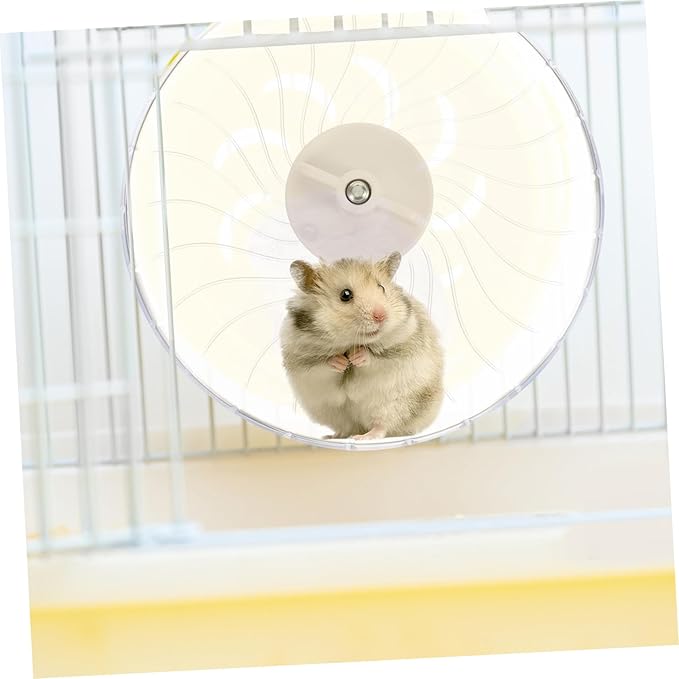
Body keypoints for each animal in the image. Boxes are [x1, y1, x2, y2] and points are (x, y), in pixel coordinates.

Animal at [280, 251, 444, 441]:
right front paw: (342, 362)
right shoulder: (302, 359)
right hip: (332, 411)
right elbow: (322, 364)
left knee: (382, 426)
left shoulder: (403, 346)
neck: (350, 342)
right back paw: (333, 436)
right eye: (345, 294)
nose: (381, 316)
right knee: (346, 427)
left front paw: (356, 357)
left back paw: (363, 437)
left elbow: (377, 358)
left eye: (382, 288)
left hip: (395, 405)